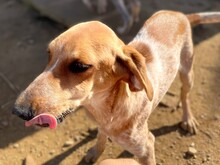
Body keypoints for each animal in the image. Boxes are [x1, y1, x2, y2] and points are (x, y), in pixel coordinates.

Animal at [12, 10, 220, 165]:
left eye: (80, 66)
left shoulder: (146, 147)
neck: (105, 109)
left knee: (185, 95)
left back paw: (188, 119)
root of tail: (179, 14)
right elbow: (100, 137)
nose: (18, 111)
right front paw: (96, 151)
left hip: (187, 71)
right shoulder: (101, 124)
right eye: (48, 54)